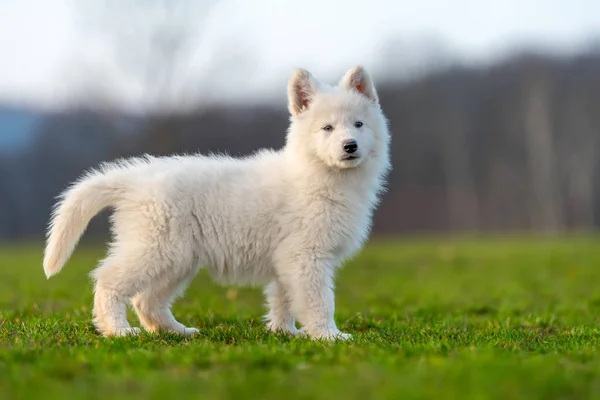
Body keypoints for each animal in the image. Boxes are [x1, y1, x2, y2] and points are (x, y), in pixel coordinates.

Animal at [41, 65, 390, 340]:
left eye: (358, 124)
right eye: (327, 128)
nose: (350, 146)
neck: (319, 174)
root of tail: (135, 178)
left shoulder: (288, 260)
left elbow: (284, 299)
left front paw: (285, 332)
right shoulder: (307, 257)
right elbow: (319, 301)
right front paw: (328, 336)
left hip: (177, 258)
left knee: (147, 301)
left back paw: (176, 331)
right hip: (155, 248)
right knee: (109, 280)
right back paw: (118, 330)